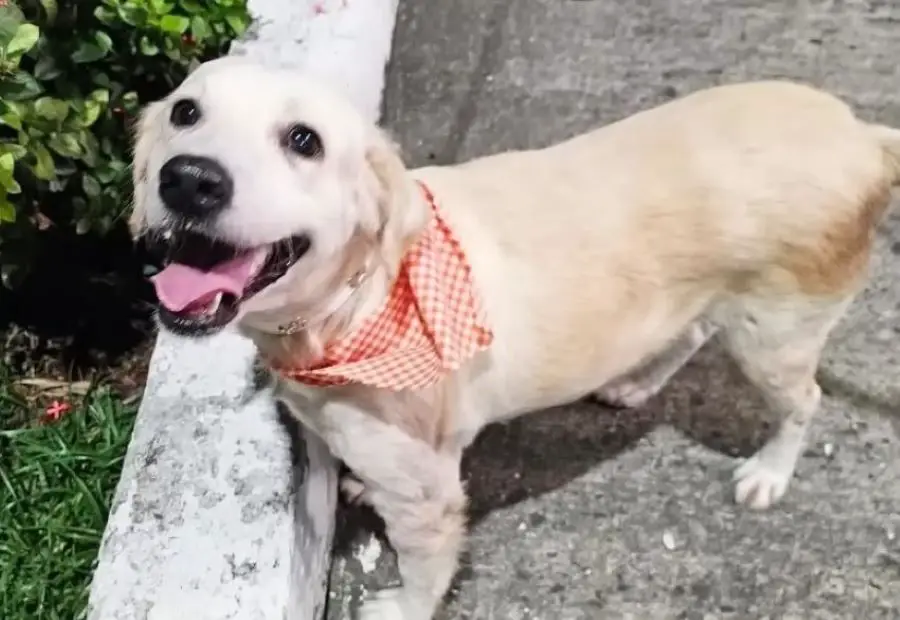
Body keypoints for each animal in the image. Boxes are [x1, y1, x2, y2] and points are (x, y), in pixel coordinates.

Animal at [130, 55, 900, 616]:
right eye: (185, 112)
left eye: (303, 141)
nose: (189, 179)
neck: (350, 309)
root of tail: (863, 134)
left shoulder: (430, 500)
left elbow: (424, 566)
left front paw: (402, 607)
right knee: (690, 334)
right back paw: (637, 382)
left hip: (775, 339)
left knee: (804, 403)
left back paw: (770, 472)